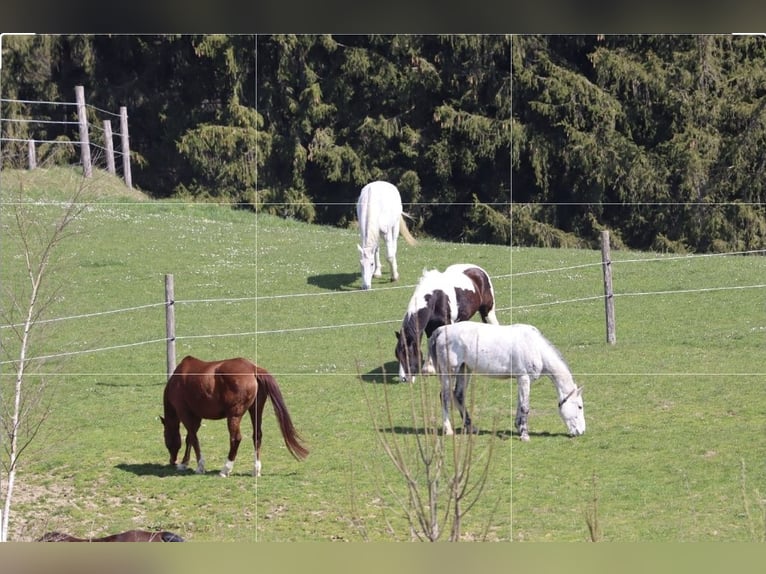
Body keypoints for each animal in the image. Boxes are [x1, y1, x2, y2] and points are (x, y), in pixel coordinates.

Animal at [161, 356, 309, 477]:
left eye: (165, 436)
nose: (172, 461)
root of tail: (253, 368)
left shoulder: (185, 414)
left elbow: (193, 438)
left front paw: (198, 466)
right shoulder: (196, 417)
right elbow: (190, 439)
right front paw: (185, 463)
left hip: (234, 416)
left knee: (235, 438)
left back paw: (225, 469)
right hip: (255, 410)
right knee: (257, 436)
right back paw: (256, 470)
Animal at [428, 322, 585, 440]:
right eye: (579, 407)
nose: (581, 431)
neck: (535, 347)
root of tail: (441, 330)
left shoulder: (521, 380)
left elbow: (520, 404)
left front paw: (519, 427)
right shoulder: (524, 378)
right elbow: (525, 407)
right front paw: (524, 435)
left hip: (464, 369)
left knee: (459, 395)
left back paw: (471, 427)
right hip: (450, 371)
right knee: (445, 397)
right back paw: (448, 430)